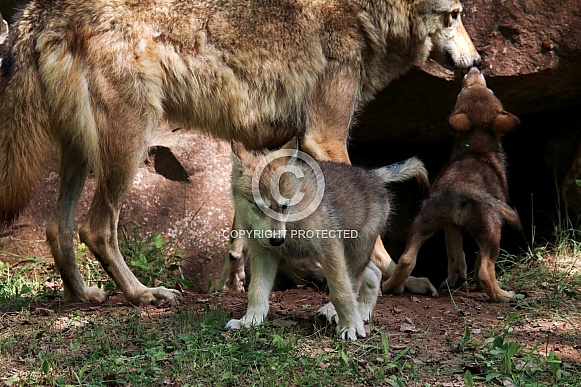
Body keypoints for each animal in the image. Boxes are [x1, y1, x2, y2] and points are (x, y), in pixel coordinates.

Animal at [0, 0, 478, 306]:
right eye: (455, 15)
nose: (477, 63)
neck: (363, 15)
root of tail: (39, 10)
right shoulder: (323, 137)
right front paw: (400, 278)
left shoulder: (267, 146)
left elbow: (243, 232)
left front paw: (240, 282)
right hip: (129, 144)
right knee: (95, 228)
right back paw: (142, 295)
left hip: (80, 154)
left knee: (57, 228)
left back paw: (83, 296)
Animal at [224, 139, 428, 340]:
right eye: (257, 205)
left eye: (284, 206)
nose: (277, 241)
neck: (291, 222)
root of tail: (371, 174)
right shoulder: (264, 254)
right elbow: (257, 291)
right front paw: (249, 321)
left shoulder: (329, 248)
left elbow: (341, 291)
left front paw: (351, 327)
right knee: (373, 273)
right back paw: (363, 313)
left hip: (355, 251)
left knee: (355, 281)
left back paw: (338, 313)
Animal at [380, 67, 520, 304]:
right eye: (466, 89)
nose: (473, 69)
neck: (476, 148)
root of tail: (463, 187)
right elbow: (475, 263)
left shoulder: (451, 227)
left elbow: (456, 257)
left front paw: (453, 281)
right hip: (492, 231)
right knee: (485, 270)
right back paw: (504, 296)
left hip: (424, 221)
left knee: (406, 259)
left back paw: (391, 286)